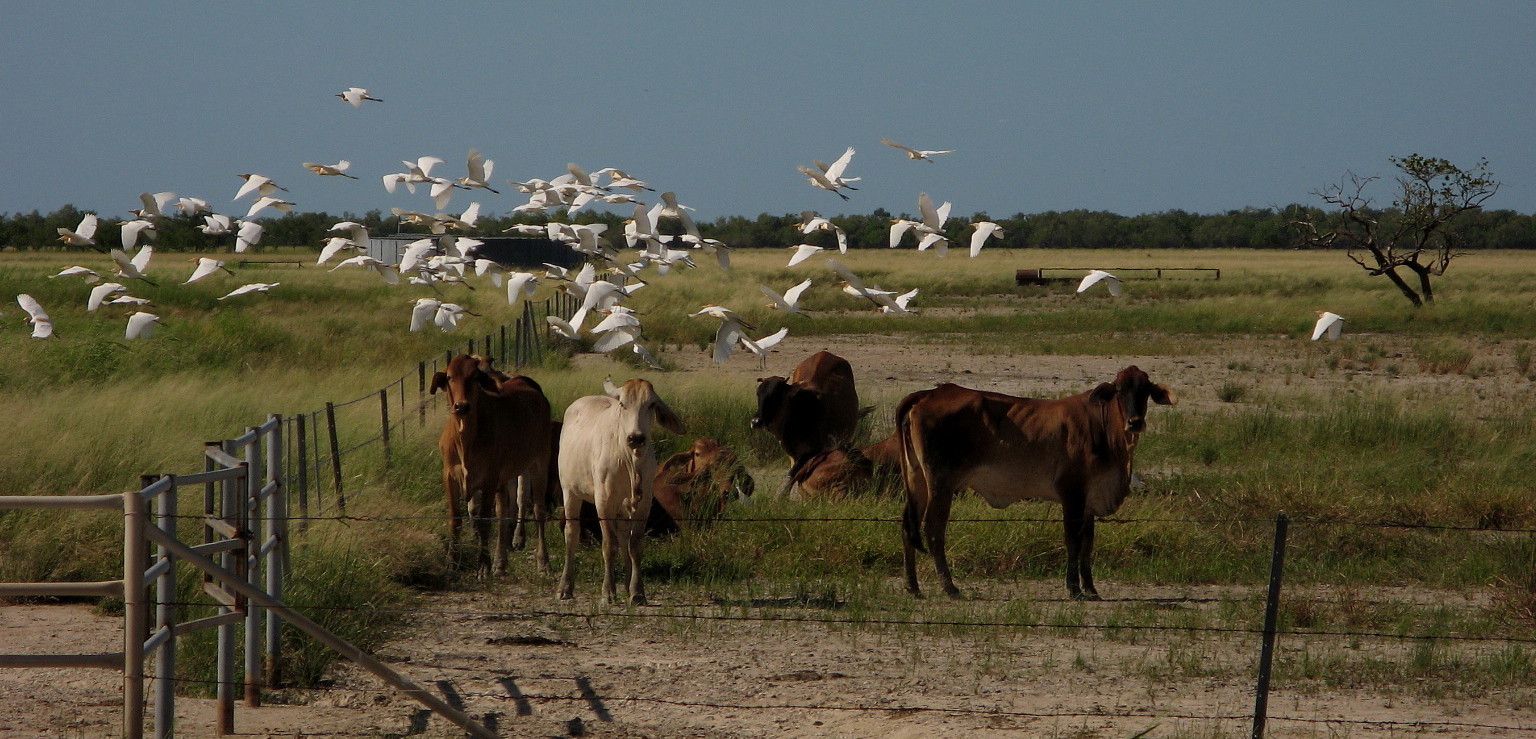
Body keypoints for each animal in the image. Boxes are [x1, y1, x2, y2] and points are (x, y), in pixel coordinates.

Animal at [433, 354, 552, 574]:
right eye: (450, 377)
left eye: (474, 377)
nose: (461, 406)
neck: (465, 439)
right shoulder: (450, 477)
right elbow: (456, 519)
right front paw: (452, 561)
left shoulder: (489, 479)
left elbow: (485, 521)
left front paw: (483, 565)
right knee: (504, 511)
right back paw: (500, 560)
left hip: (539, 462)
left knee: (534, 506)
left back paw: (541, 559)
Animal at [559, 377, 685, 602]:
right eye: (623, 404)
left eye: (651, 405)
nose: (636, 438)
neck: (630, 461)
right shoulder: (604, 501)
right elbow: (609, 545)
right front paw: (608, 591)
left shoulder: (644, 504)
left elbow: (634, 546)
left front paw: (637, 591)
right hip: (569, 490)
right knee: (571, 533)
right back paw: (565, 587)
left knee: (625, 537)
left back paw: (627, 586)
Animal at [752, 351, 866, 488]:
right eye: (758, 394)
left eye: (775, 395)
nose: (756, 421)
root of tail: (824, 353)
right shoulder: (792, 453)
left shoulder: (814, 450)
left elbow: (793, 474)